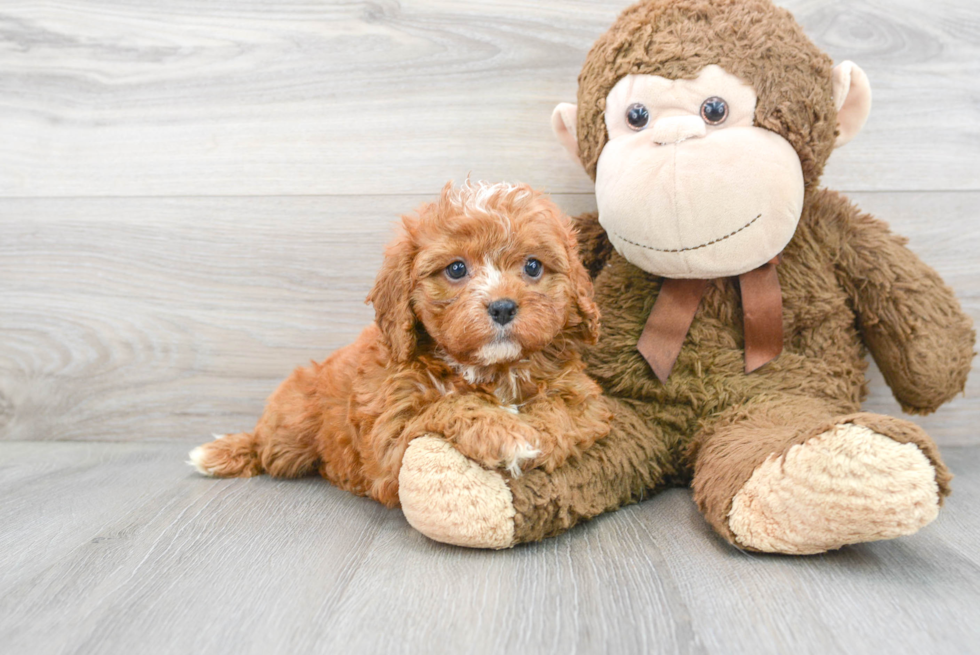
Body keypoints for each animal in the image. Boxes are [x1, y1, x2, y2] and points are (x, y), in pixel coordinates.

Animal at [188, 179, 608, 508]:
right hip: (293, 422)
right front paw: (508, 435)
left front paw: (536, 435)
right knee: (267, 445)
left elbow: (563, 410)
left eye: (533, 266)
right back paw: (223, 451)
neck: (490, 368)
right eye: (456, 269)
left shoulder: (586, 400)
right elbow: (449, 405)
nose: (503, 306)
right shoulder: (391, 433)